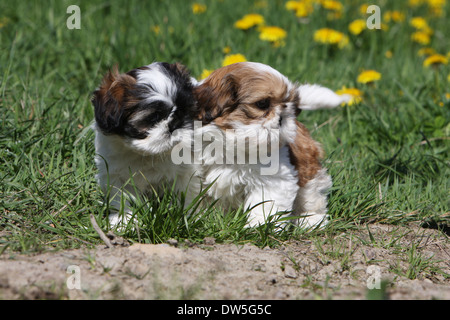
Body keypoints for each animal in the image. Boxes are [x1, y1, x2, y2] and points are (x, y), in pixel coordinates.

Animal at [91, 62, 197, 228]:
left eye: (184, 111)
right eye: (154, 117)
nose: (175, 124)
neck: (147, 154)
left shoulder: (185, 170)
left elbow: (186, 191)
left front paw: (186, 216)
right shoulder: (115, 173)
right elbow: (122, 196)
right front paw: (123, 221)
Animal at [192, 62, 348, 228]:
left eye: (287, 105)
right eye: (262, 104)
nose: (282, 117)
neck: (234, 145)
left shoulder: (273, 179)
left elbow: (266, 203)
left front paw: (260, 226)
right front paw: (200, 220)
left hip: (308, 168)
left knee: (312, 194)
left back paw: (311, 220)